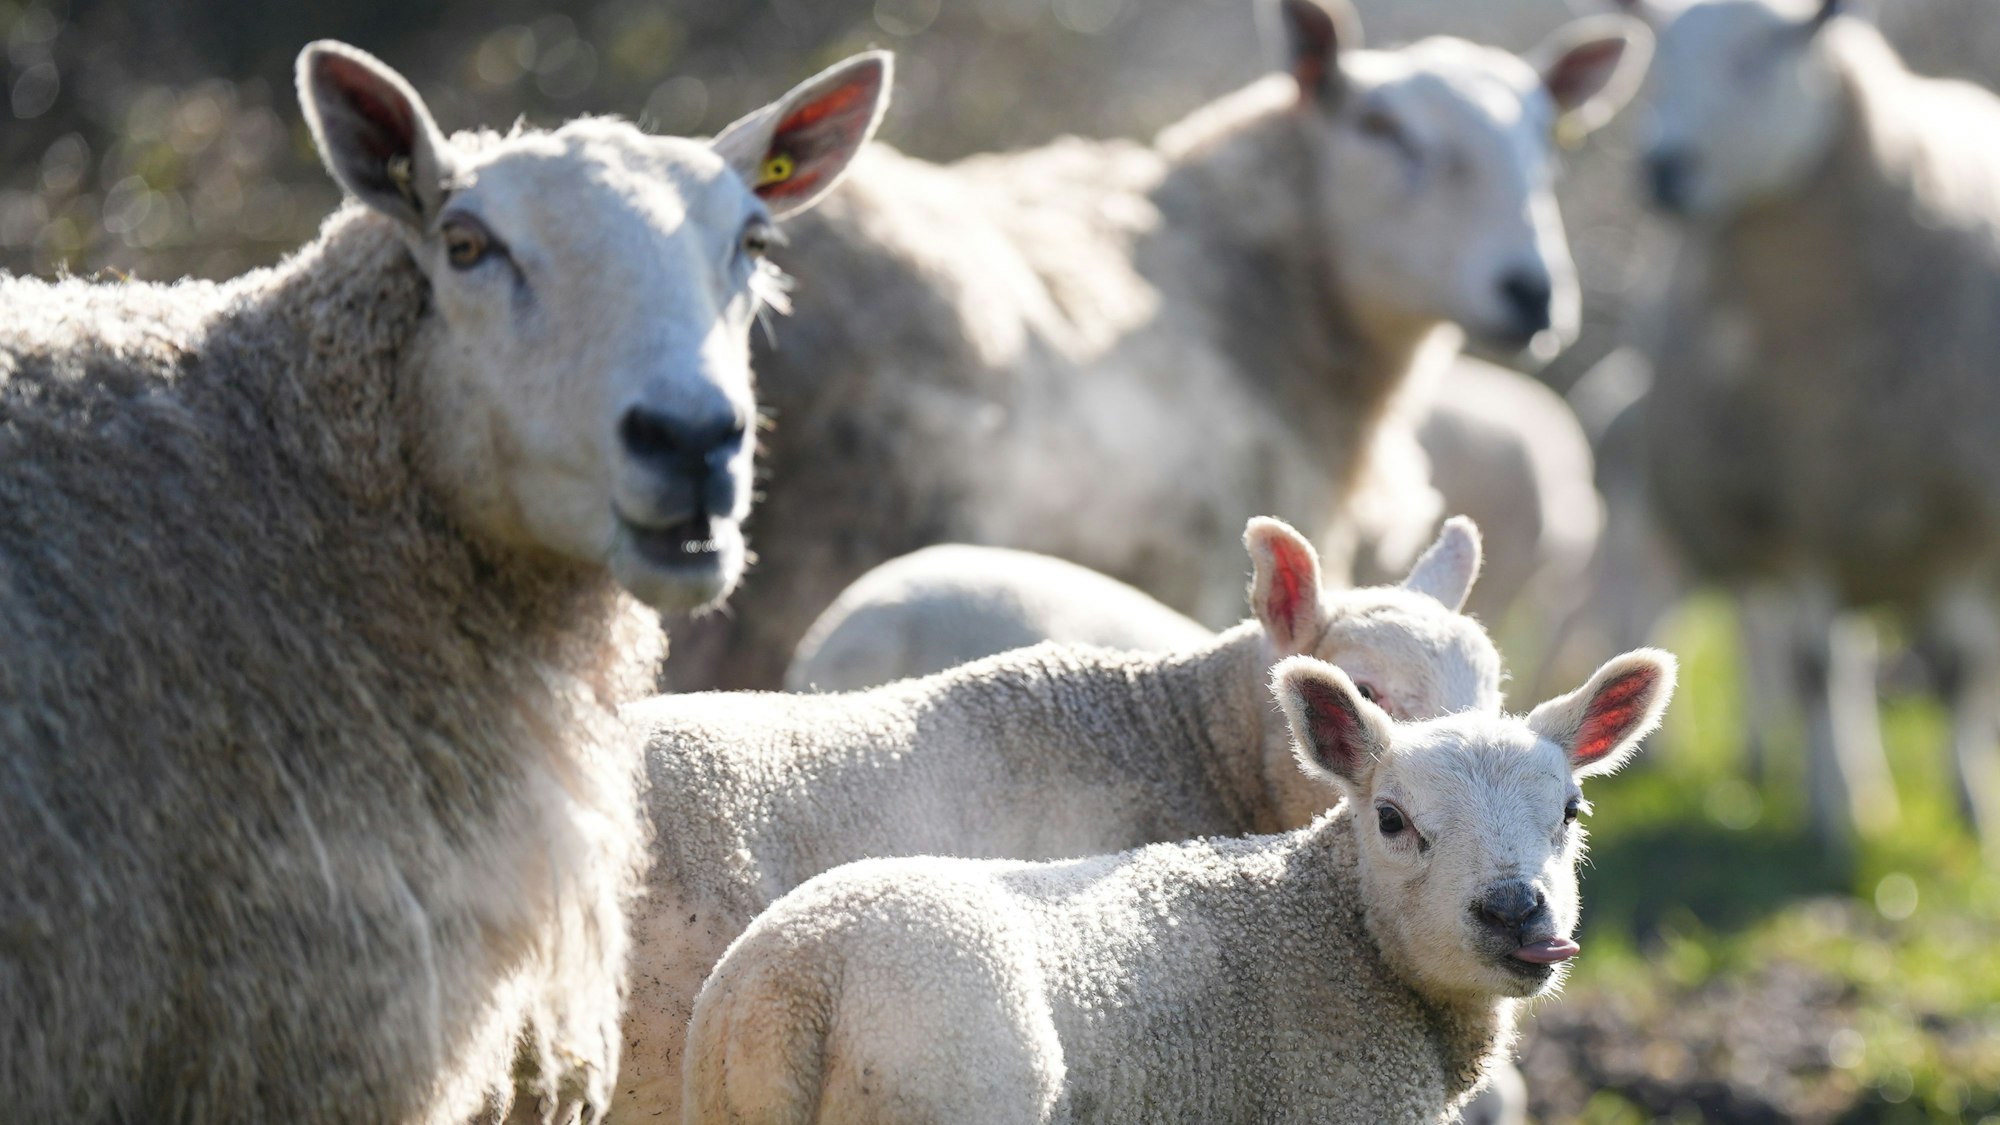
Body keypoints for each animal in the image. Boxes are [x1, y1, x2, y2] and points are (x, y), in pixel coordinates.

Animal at [684, 648, 1678, 1124]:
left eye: (1572, 809)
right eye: (1392, 819)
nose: (1515, 910)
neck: (1334, 930)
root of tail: (797, 984)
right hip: (945, 1083)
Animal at [1610, 0, 2000, 853]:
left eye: (1765, 55)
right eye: (1660, 64)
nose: (1662, 168)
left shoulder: (1957, 512)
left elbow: (1959, 667)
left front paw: (1971, 811)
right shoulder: (1790, 509)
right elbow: (1814, 667)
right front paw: (1836, 818)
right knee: (1785, 650)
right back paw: (1799, 772)